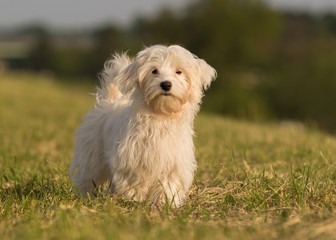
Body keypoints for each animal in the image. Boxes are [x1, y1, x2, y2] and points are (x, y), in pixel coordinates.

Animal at [69, 44, 217, 206]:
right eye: (154, 71)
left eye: (179, 71)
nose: (166, 84)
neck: (161, 116)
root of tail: (109, 101)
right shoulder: (131, 159)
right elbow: (136, 180)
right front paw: (134, 198)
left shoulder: (174, 163)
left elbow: (169, 184)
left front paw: (164, 203)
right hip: (92, 153)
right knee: (88, 175)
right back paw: (85, 195)